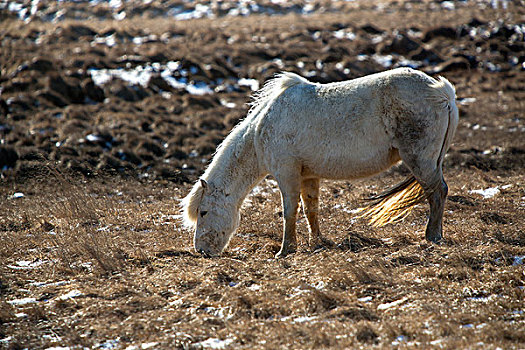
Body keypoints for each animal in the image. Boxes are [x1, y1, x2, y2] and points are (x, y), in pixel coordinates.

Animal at [182, 67, 456, 258]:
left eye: (203, 212)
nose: (201, 251)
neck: (261, 131)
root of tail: (441, 91)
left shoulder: (287, 174)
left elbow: (290, 211)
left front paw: (285, 250)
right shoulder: (308, 176)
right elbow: (310, 209)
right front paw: (317, 242)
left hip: (420, 160)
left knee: (437, 193)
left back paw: (432, 236)